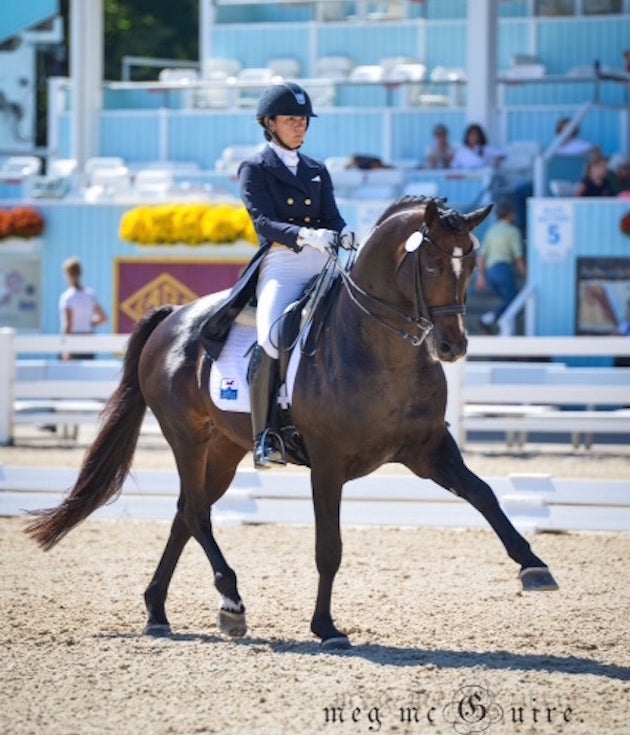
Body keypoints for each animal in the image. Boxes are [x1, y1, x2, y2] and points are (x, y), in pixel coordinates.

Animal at [24, 197, 560, 648]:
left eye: (471, 265)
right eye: (429, 264)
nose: (453, 346)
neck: (381, 350)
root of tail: (175, 317)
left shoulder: (428, 449)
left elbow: (484, 494)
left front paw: (534, 567)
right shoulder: (327, 462)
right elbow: (329, 547)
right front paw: (326, 627)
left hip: (223, 449)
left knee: (185, 512)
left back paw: (158, 611)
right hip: (188, 438)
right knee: (195, 513)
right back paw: (231, 602)